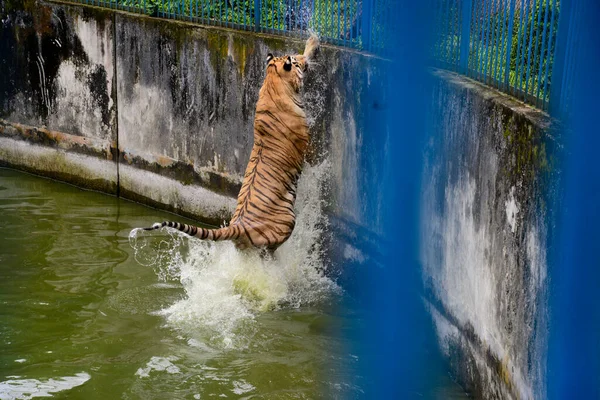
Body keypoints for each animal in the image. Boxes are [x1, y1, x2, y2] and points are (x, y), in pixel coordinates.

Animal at [143, 36, 322, 252]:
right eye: (295, 62)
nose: (304, 64)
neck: (272, 82)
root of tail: (238, 225)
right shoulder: (306, 143)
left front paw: (312, 42)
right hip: (286, 224)